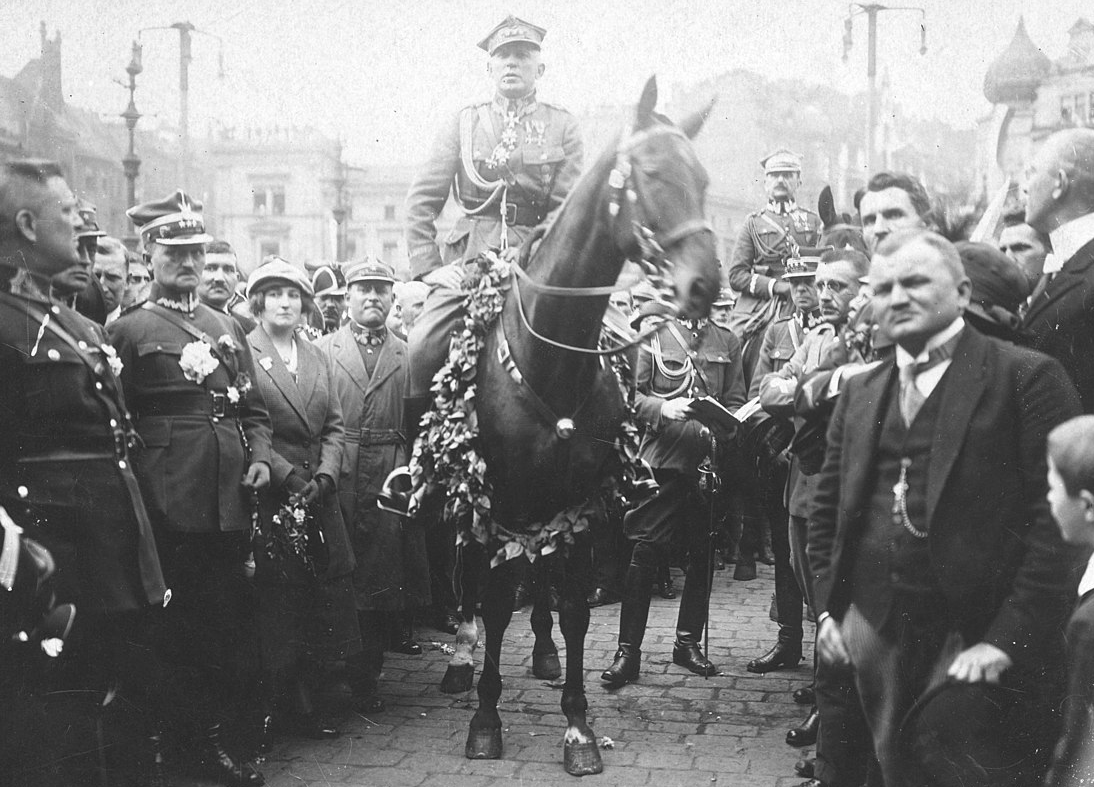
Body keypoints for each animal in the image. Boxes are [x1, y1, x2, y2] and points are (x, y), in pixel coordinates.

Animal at [420, 76, 719, 777]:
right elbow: (496, 600)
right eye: (653, 173)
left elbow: (578, 608)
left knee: (540, 578)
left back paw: (544, 654)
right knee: (470, 577)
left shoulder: (579, 500)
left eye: (703, 179)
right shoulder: (498, 496)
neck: (550, 354)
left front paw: (579, 724)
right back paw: (462, 657)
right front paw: (485, 717)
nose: (707, 283)